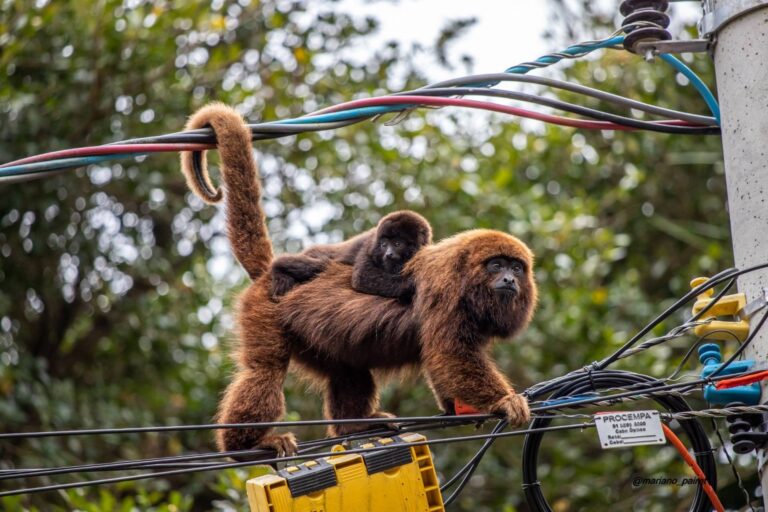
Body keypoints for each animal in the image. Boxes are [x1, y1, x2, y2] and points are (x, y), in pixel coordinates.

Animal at [181, 102, 536, 454]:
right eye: (496, 265)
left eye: (516, 268)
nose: (509, 280)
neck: (466, 275)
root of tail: (267, 273)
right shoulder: (446, 288)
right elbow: (450, 354)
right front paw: (504, 401)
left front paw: (459, 407)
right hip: (264, 307)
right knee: (264, 370)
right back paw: (248, 442)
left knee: (348, 369)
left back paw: (356, 425)